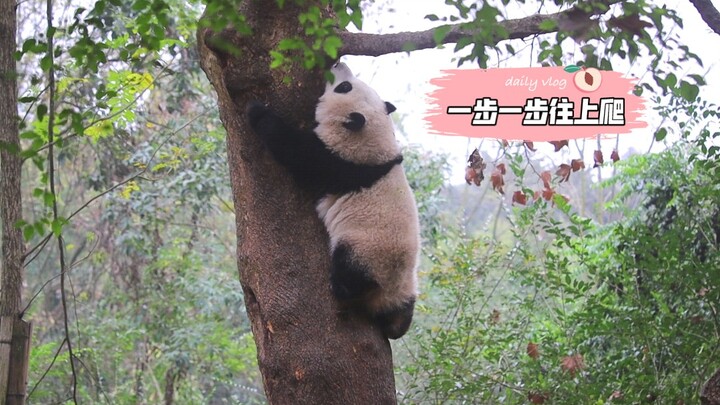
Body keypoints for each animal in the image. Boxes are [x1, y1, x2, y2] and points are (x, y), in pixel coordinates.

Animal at [246, 62, 420, 339]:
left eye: (344, 87)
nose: (339, 63)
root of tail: (387, 294)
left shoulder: (338, 162)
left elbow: (296, 152)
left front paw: (257, 111)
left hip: (365, 250)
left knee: (351, 272)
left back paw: (340, 288)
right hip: (407, 286)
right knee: (403, 314)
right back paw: (396, 324)